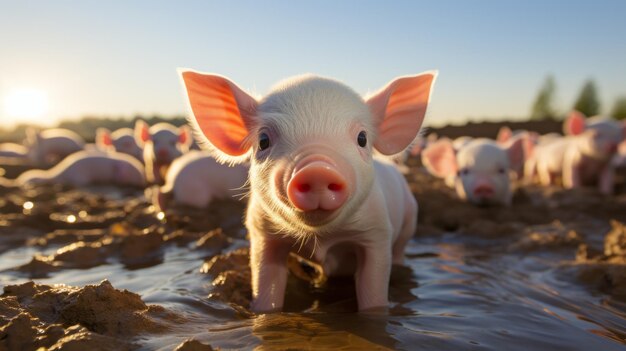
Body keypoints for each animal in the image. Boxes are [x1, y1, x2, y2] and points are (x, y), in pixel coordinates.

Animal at [178, 69, 436, 314]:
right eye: (263, 141)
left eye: (362, 138)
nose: (317, 169)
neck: (321, 239)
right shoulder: (262, 233)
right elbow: (265, 284)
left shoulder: (377, 233)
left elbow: (373, 289)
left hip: (409, 221)